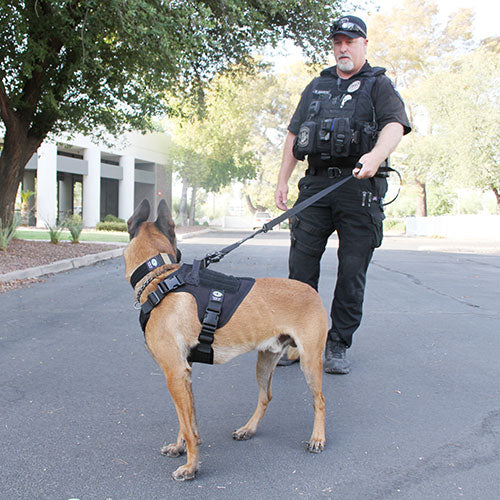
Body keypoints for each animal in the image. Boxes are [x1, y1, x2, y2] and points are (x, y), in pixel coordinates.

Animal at [124, 198, 328, 480]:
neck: (160, 279)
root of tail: (313, 292)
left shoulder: (175, 374)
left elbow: (187, 425)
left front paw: (191, 467)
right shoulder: (185, 374)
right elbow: (187, 421)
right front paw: (180, 448)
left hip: (309, 363)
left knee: (319, 401)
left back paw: (318, 438)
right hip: (265, 362)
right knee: (265, 397)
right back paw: (248, 429)